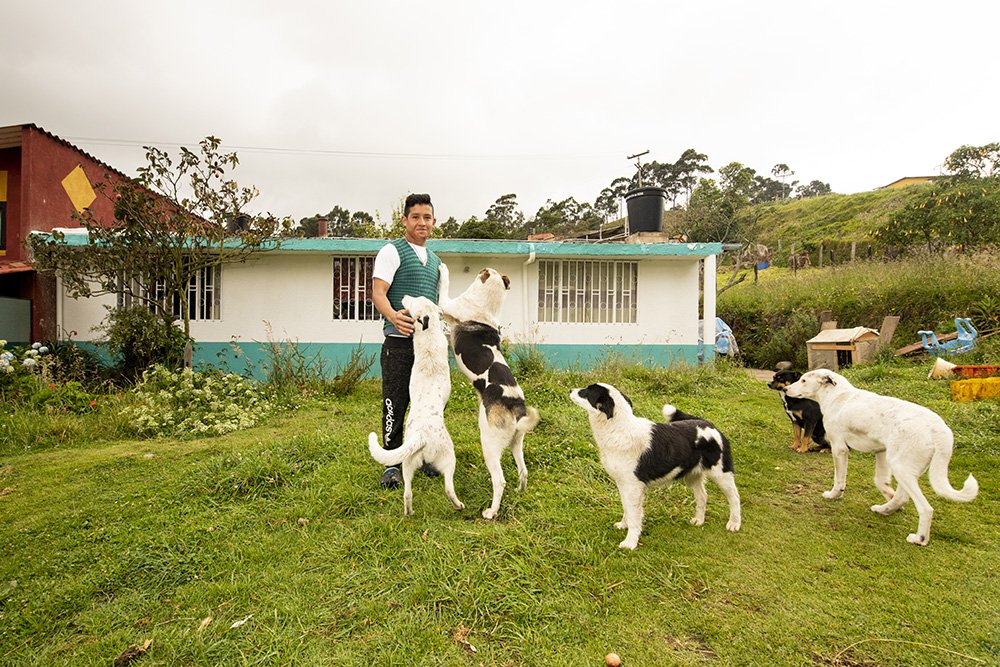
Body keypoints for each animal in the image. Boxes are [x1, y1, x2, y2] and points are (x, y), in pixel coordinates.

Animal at [364, 294, 464, 520]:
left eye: (414, 300)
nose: (403, 297)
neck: (428, 332)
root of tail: (422, 436)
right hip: (449, 457)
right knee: (448, 488)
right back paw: (459, 505)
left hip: (408, 465)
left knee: (407, 493)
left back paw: (409, 512)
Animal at [572, 384, 744, 552]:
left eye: (586, 392)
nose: (570, 390)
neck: (618, 429)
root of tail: (708, 424)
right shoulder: (623, 484)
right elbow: (627, 509)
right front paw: (623, 525)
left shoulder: (632, 487)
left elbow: (634, 516)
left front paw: (630, 543)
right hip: (692, 475)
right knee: (702, 496)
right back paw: (698, 520)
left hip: (721, 474)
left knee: (734, 497)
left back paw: (734, 524)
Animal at [784, 368, 980, 544]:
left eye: (803, 380)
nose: (786, 390)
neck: (837, 396)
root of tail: (941, 430)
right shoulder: (881, 451)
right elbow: (880, 481)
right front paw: (890, 498)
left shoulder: (839, 449)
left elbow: (839, 480)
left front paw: (834, 495)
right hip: (902, 467)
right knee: (902, 497)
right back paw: (885, 509)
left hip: (901, 467)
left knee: (925, 508)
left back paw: (919, 539)